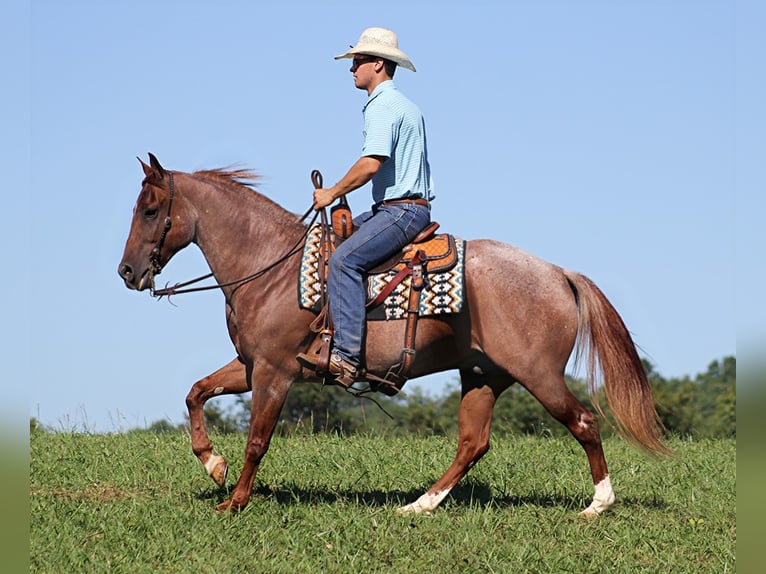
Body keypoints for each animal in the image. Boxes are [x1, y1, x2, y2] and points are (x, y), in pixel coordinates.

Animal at [117, 153, 668, 516]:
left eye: (150, 210)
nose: (127, 271)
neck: (269, 265)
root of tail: (558, 273)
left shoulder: (274, 372)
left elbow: (257, 440)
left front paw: (233, 502)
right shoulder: (251, 365)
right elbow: (195, 392)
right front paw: (213, 464)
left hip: (539, 376)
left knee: (583, 422)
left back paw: (598, 504)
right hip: (482, 376)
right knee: (473, 443)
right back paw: (418, 506)